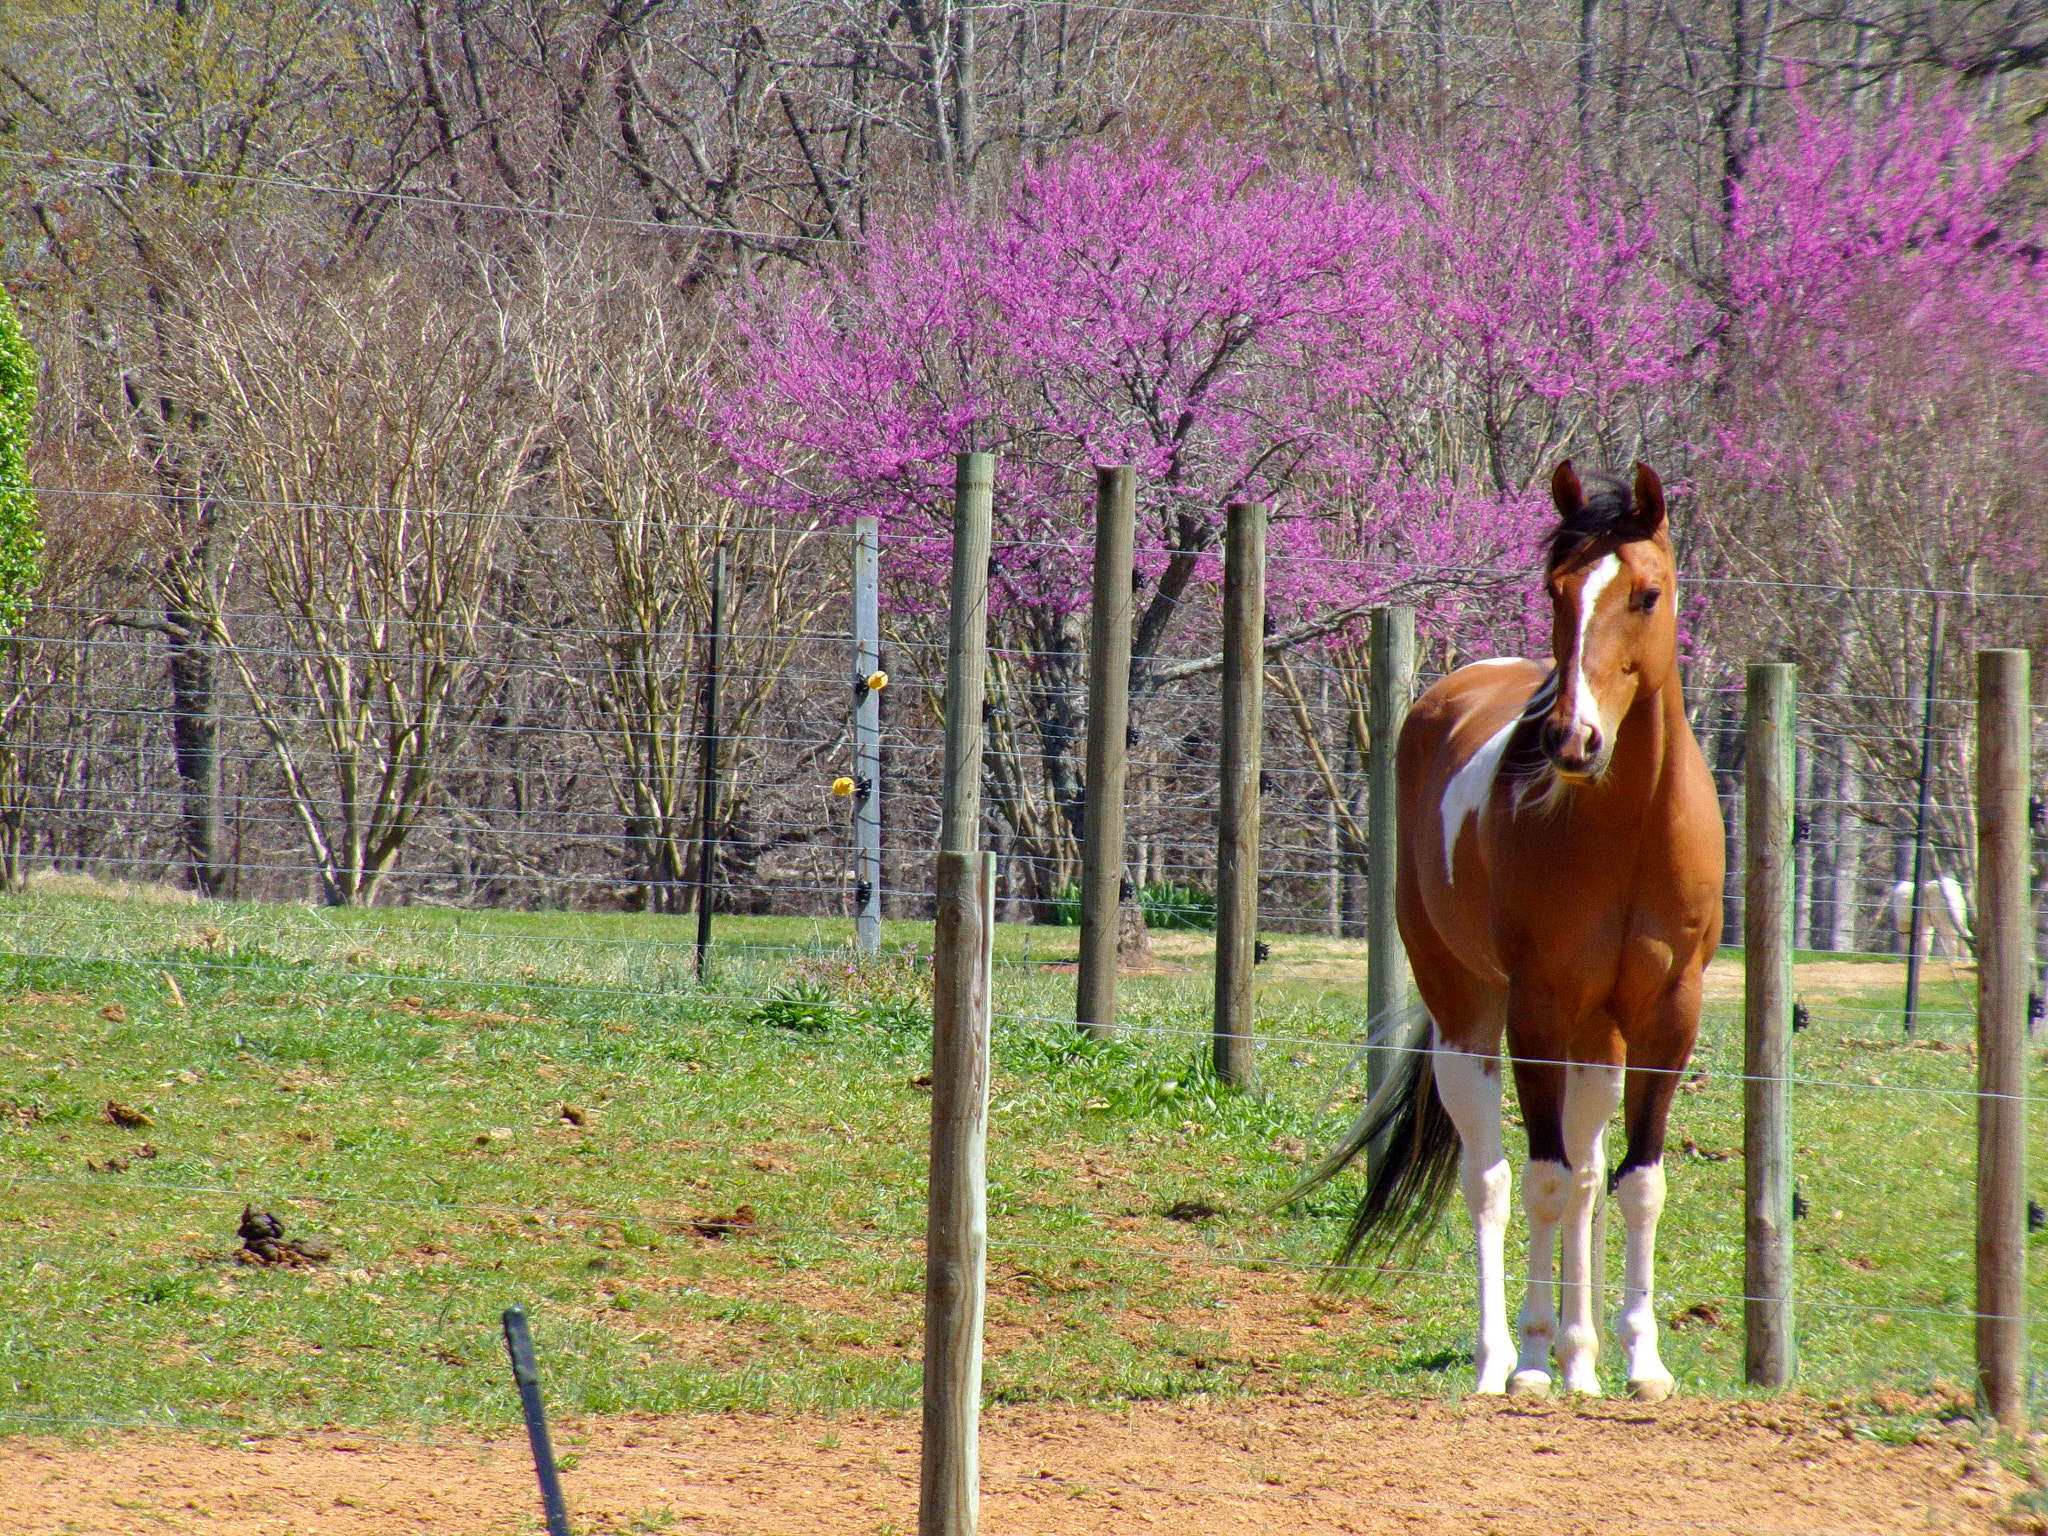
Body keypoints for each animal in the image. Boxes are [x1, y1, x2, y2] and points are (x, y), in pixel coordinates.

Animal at [1302, 460, 1720, 1409]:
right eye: (1555, 590)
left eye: (1646, 594)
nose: (1572, 739)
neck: (1628, 828)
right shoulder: (1535, 1009)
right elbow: (1543, 1181)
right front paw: (1532, 1362)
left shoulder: (1666, 1017)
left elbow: (1635, 1186)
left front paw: (1639, 1361)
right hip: (1469, 1015)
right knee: (1489, 1178)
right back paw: (1503, 1359)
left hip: (1596, 1039)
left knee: (1592, 1174)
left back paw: (1582, 1359)